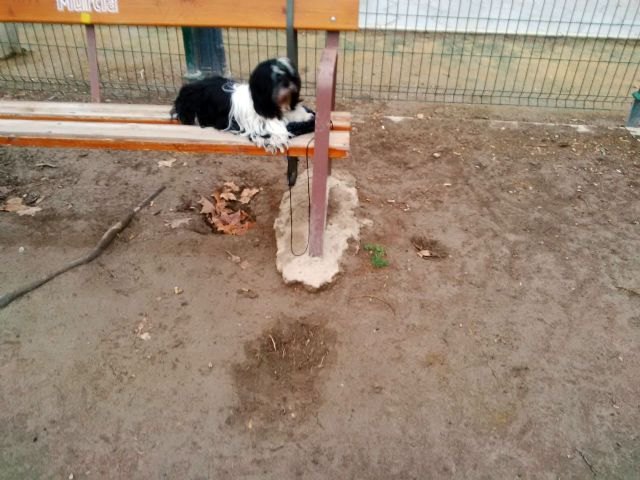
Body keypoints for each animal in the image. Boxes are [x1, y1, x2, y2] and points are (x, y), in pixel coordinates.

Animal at [172, 57, 316, 153]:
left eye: (289, 76)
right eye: (276, 78)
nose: (287, 84)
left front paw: (306, 116)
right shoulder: (260, 128)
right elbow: (279, 131)